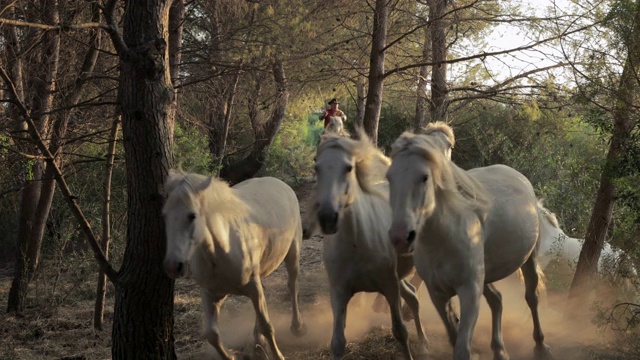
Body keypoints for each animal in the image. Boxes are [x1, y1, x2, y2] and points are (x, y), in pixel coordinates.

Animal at [164, 171, 306, 360]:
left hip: (292, 254)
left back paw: (297, 327)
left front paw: (278, 356)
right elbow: (212, 335)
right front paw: (232, 355)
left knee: (292, 286)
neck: (221, 250)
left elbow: (267, 326)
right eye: (164, 215)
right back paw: (258, 340)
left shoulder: (252, 287)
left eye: (192, 215)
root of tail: (281, 183)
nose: (173, 266)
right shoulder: (211, 294)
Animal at [312, 134, 428, 360]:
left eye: (348, 168)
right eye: (317, 167)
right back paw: (424, 342)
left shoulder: (389, 286)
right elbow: (337, 342)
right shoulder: (338, 291)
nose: (328, 217)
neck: (358, 243)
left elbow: (400, 331)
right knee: (412, 296)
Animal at [384, 132, 556, 360]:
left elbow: (462, 348)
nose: (400, 237)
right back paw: (499, 351)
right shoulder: (438, 294)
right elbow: (453, 337)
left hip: (528, 260)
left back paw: (541, 346)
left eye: (424, 177)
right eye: (389, 177)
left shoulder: (469, 291)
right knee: (497, 300)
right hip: (485, 275)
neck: (443, 239)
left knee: (531, 297)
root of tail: (520, 178)